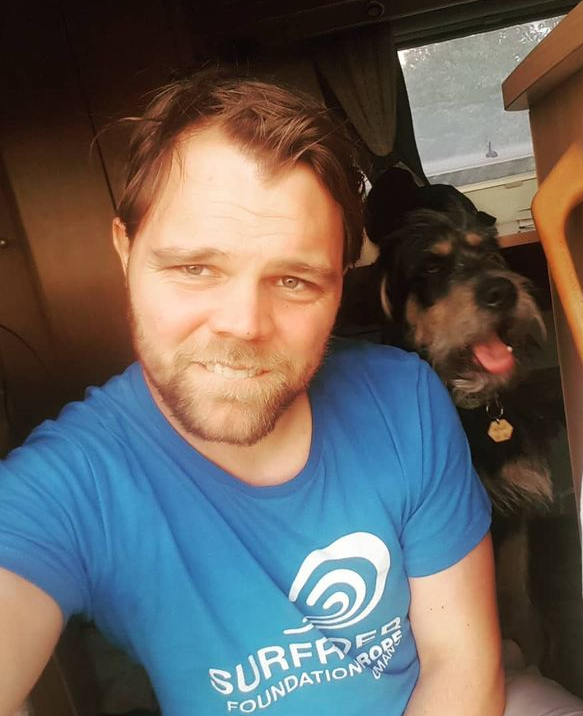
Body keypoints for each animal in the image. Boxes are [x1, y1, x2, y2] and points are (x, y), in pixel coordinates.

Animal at [337, 166, 564, 665]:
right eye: (432, 268)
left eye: (490, 254)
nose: (502, 289)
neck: (470, 407)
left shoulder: (510, 510)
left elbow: (515, 589)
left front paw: (530, 646)